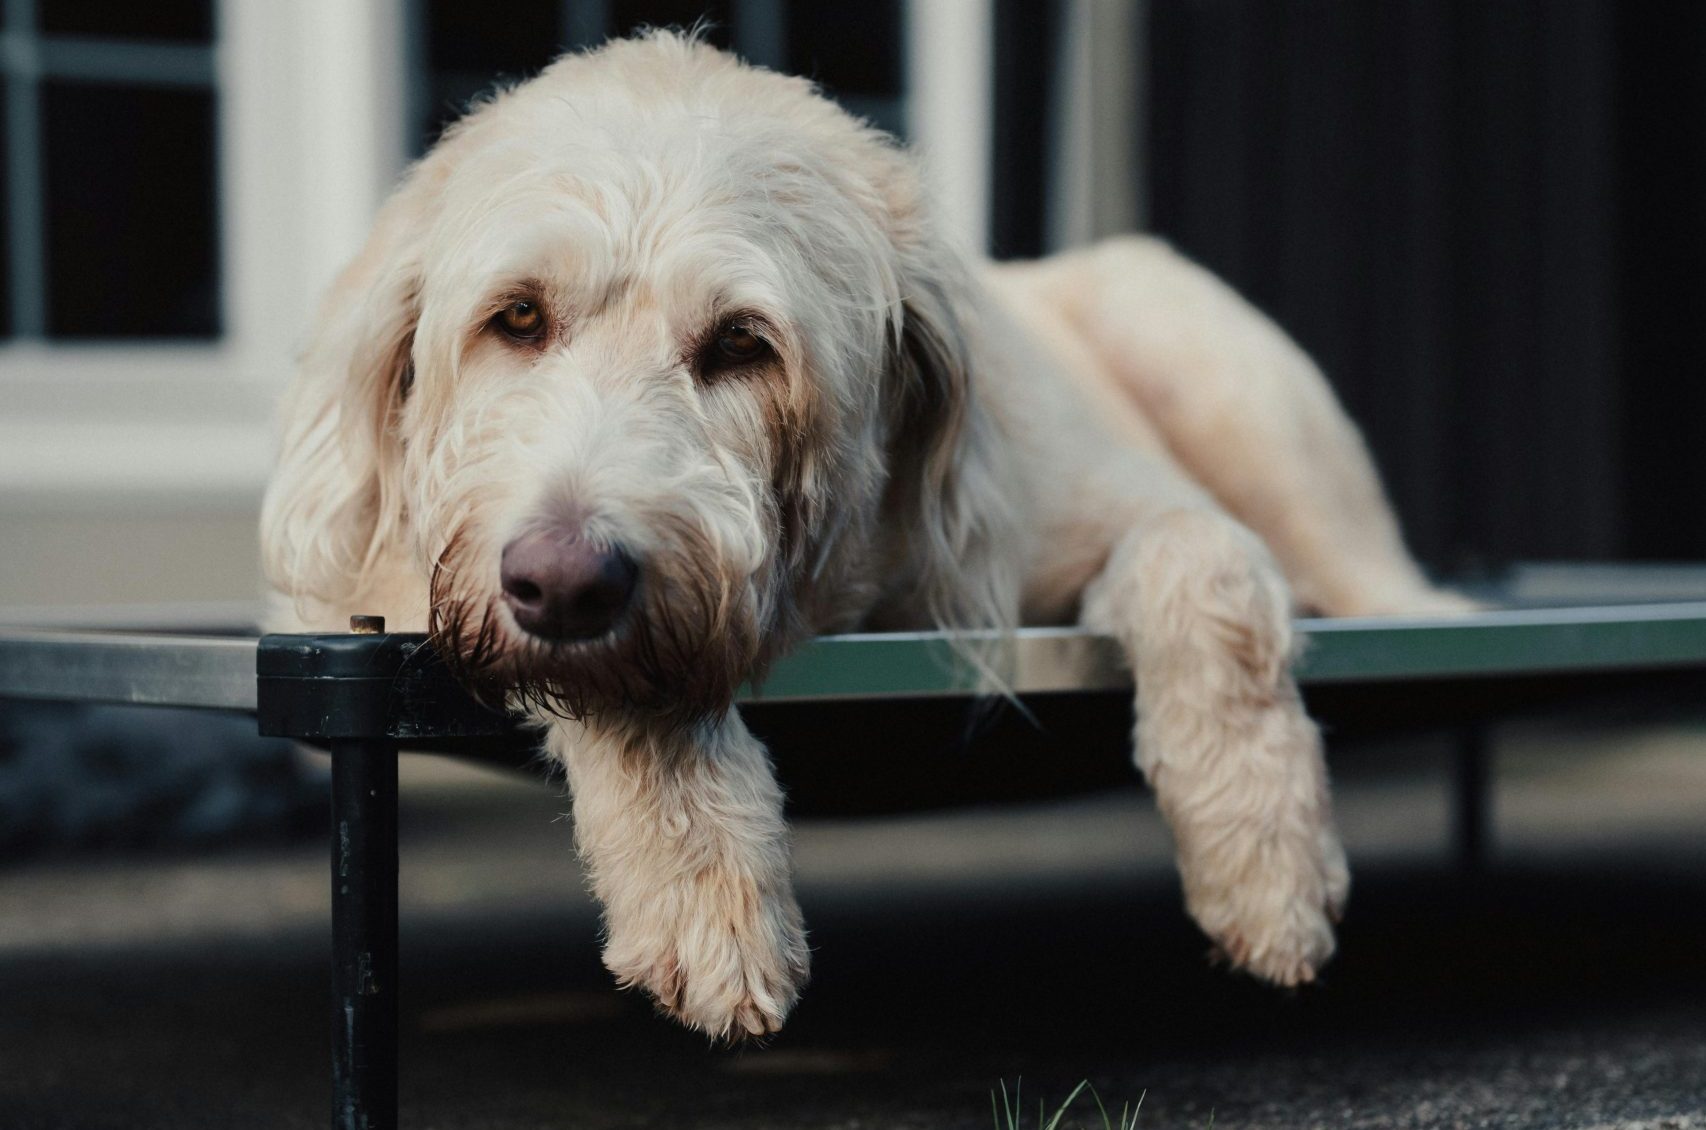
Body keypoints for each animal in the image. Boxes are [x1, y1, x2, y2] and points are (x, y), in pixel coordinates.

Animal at [262, 30, 1467, 1044]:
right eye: (516, 317)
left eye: (741, 344)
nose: (563, 585)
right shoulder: (376, 584)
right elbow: (633, 692)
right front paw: (702, 878)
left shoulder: (1124, 507)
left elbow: (1203, 564)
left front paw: (1265, 863)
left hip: (1199, 351)